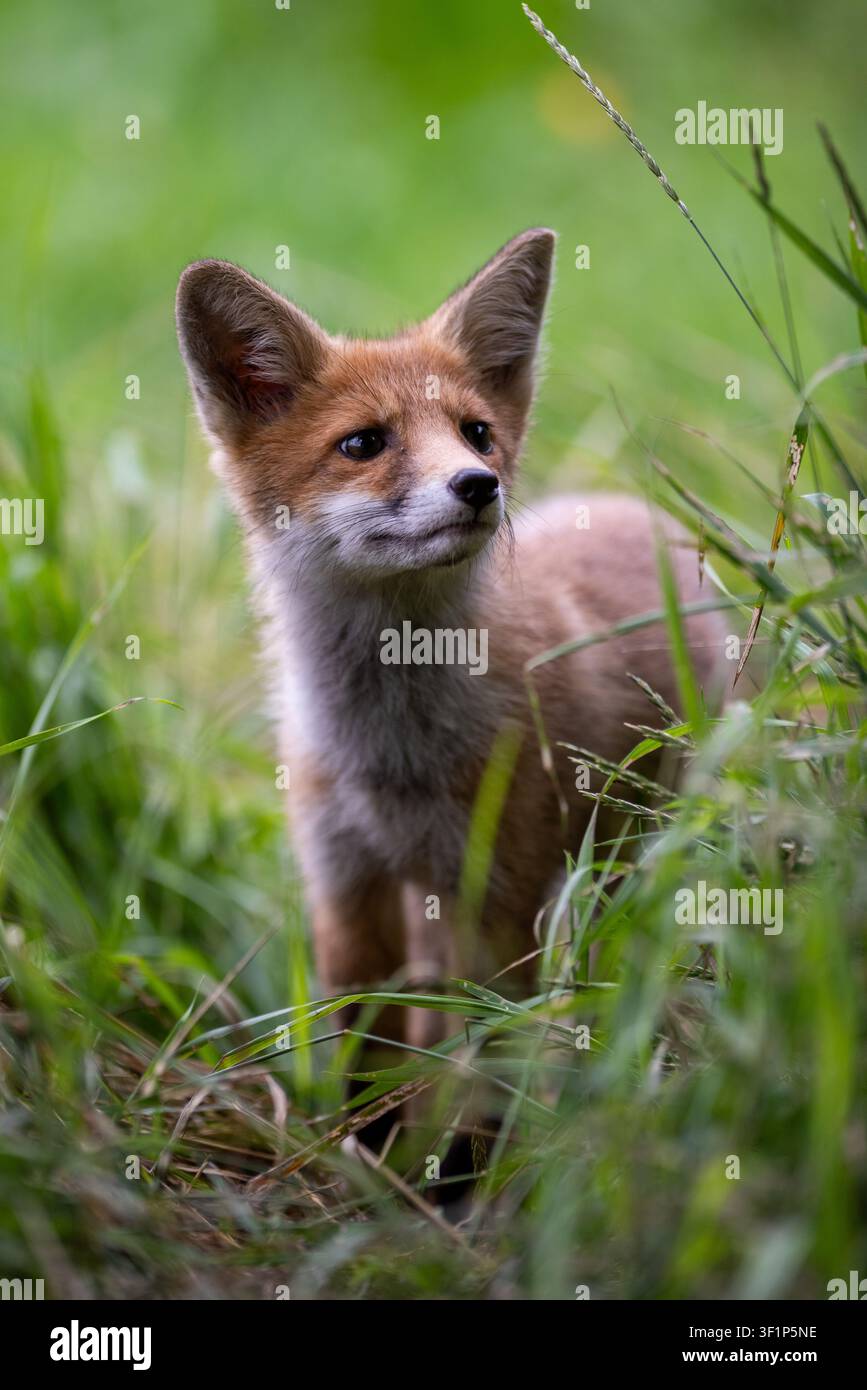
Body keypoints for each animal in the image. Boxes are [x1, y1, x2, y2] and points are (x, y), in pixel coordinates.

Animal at [175, 229, 723, 1058]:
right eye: (362, 443)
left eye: (476, 433)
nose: (476, 485)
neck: (389, 755)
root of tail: (634, 510)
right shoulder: (345, 889)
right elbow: (365, 1060)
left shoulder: (490, 897)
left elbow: (472, 1060)